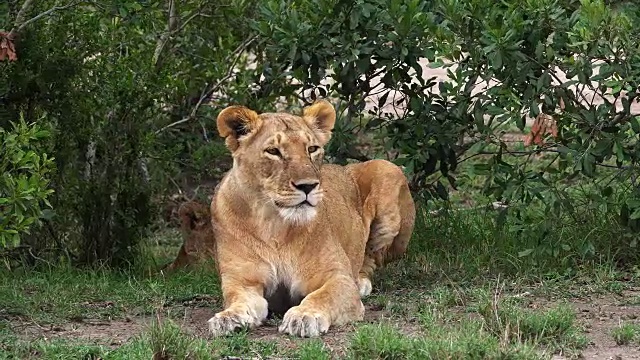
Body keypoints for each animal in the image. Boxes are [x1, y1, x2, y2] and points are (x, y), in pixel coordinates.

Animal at [206, 100, 416, 338]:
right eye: (273, 151)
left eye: (312, 149)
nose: (308, 186)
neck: (273, 224)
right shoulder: (242, 282)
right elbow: (239, 300)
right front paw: (228, 318)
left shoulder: (337, 277)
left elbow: (322, 296)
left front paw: (304, 316)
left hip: (387, 170)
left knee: (371, 257)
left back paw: (361, 282)